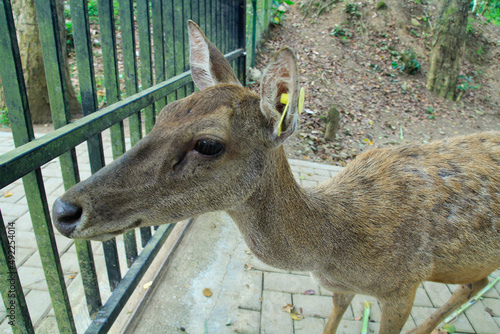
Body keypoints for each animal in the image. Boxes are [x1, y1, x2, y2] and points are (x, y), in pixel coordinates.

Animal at [52, 21, 500, 334]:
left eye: (208, 144)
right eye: (164, 112)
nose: (64, 209)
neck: (336, 248)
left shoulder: (402, 287)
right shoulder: (340, 288)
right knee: (476, 282)